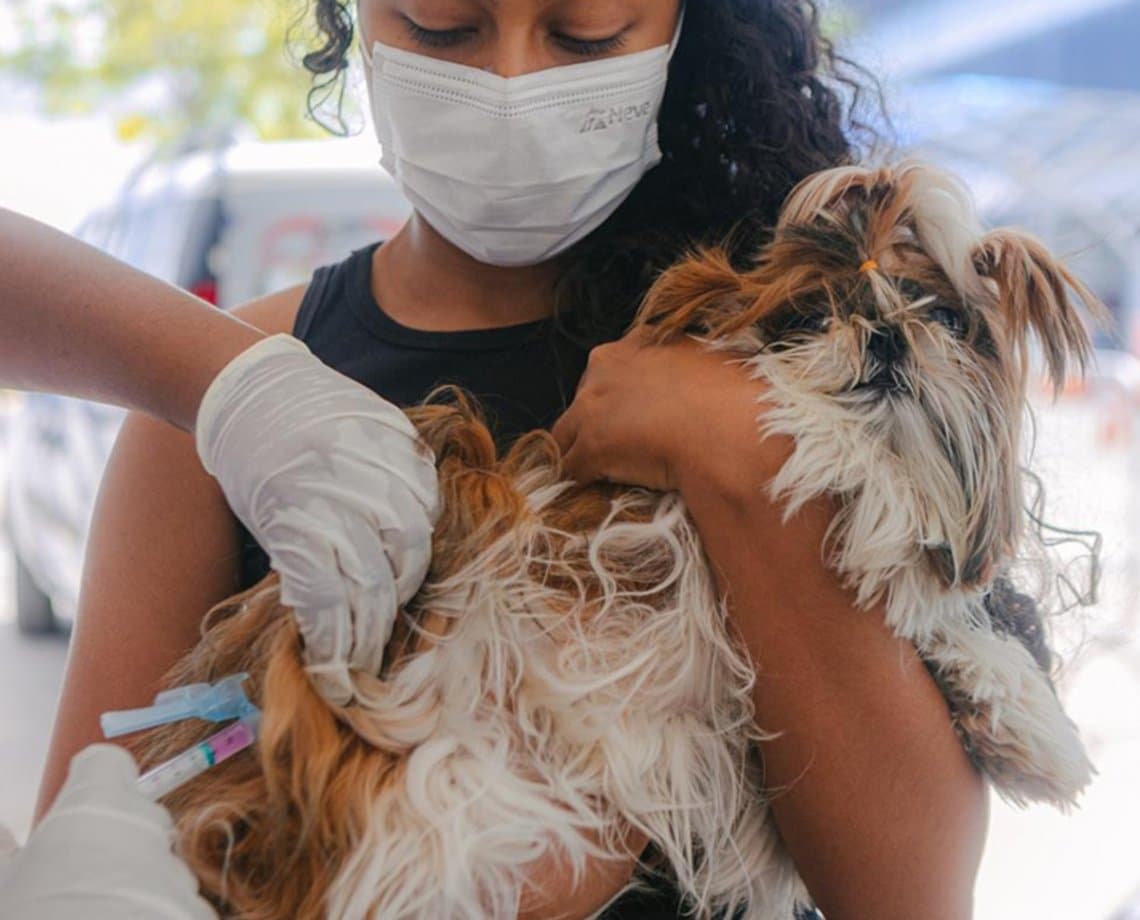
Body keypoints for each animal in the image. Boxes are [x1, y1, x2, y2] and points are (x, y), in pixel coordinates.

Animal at [137, 161, 1098, 916]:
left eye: (947, 319)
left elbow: (936, 622)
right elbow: (831, 459)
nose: (891, 335)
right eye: (807, 316)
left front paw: (1024, 722)